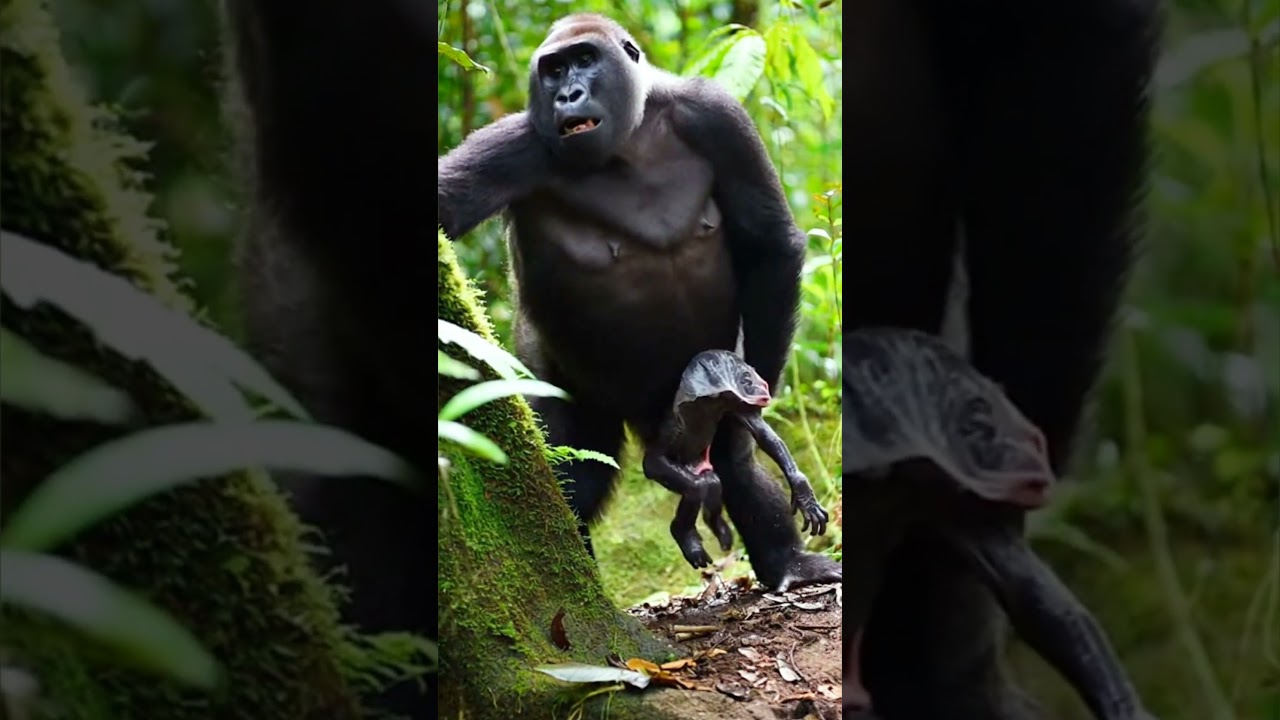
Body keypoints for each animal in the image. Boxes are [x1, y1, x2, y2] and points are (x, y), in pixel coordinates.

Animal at [642, 350, 829, 570]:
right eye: (746, 379)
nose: (764, 386)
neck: (711, 403)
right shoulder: (675, 426)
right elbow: (659, 452)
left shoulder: (736, 406)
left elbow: (765, 437)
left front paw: (804, 494)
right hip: (659, 470)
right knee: (695, 487)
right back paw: (685, 536)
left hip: (700, 466)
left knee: (712, 483)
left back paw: (719, 529)